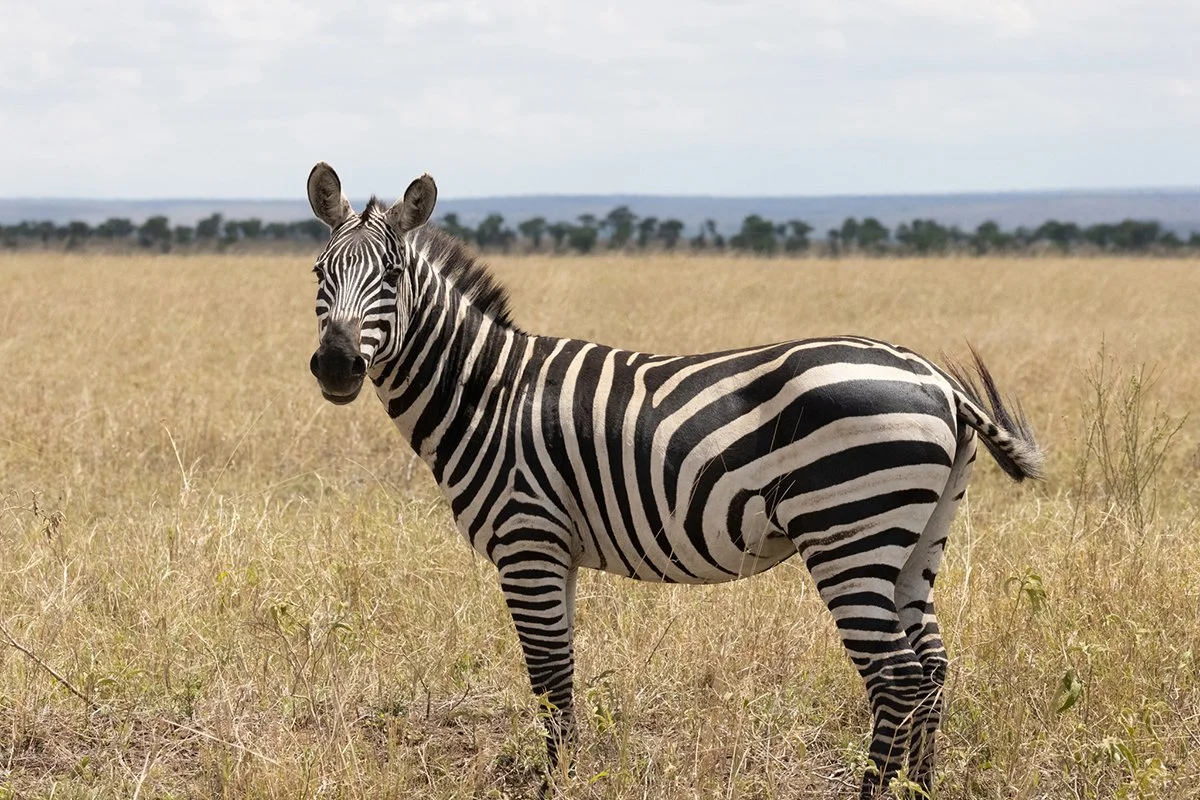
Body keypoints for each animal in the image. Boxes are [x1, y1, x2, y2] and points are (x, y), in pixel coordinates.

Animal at [303, 162, 1044, 798]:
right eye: (317, 271)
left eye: (392, 274)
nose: (336, 366)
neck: (487, 391)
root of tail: (937, 380)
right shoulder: (555, 551)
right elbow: (562, 674)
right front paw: (567, 778)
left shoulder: (527, 540)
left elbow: (548, 675)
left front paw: (553, 786)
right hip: (919, 538)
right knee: (932, 671)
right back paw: (922, 789)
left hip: (850, 532)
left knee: (896, 679)